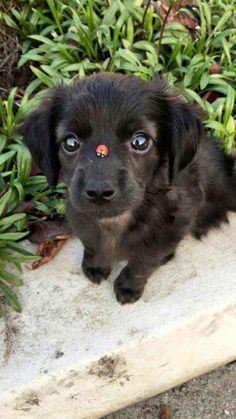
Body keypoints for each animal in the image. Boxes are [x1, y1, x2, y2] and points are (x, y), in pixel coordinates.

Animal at [19, 74, 236, 306]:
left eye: (140, 141)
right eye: (70, 142)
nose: (99, 191)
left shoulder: (167, 232)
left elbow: (142, 263)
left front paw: (128, 287)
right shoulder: (80, 218)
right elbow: (92, 244)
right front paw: (95, 265)